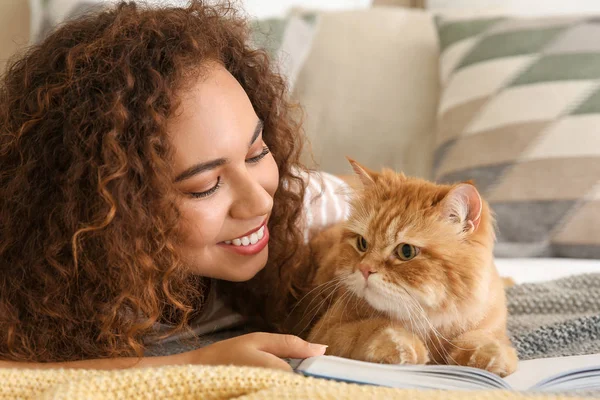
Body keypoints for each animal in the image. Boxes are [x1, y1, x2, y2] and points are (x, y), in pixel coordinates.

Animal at [308, 158, 516, 376]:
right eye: (362, 243)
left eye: (406, 251)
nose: (364, 269)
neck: (429, 321)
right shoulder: (327, 331)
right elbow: (373, 327)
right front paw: (402, 346)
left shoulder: (490, 327)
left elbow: (480, 338)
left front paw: (489, 355)